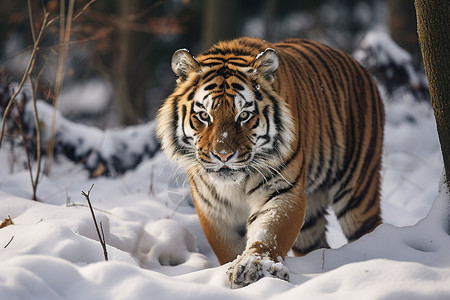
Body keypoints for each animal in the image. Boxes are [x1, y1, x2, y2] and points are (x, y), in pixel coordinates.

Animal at [156, 36, 384, 288]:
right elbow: (228, 249)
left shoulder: (282, 191)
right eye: (204, 116)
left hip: (358, 191)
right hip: (311, 221)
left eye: (244, 115)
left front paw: (254, 267)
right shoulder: (214, 210)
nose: (223, 155)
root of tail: (357, 64)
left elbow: (269, 233)